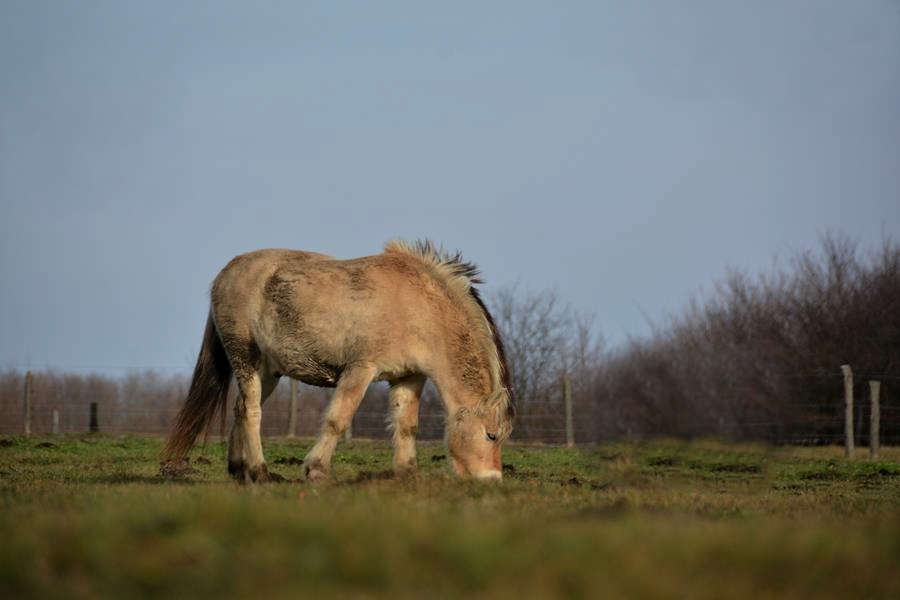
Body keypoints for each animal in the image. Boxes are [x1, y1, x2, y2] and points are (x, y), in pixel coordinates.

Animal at [163, 240, 515, 483]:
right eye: (490, 435)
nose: (492, 481)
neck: (418, 307)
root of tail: (226, 274)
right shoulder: (360, 370)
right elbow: (337, 420)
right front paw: (316, 470)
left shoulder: (408, 377)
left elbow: (407, 426)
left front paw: (407, 474)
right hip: (245, 359)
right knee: (251, 412)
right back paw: (261, 472)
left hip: (268, 371)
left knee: (240, 409)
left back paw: (240, 470)